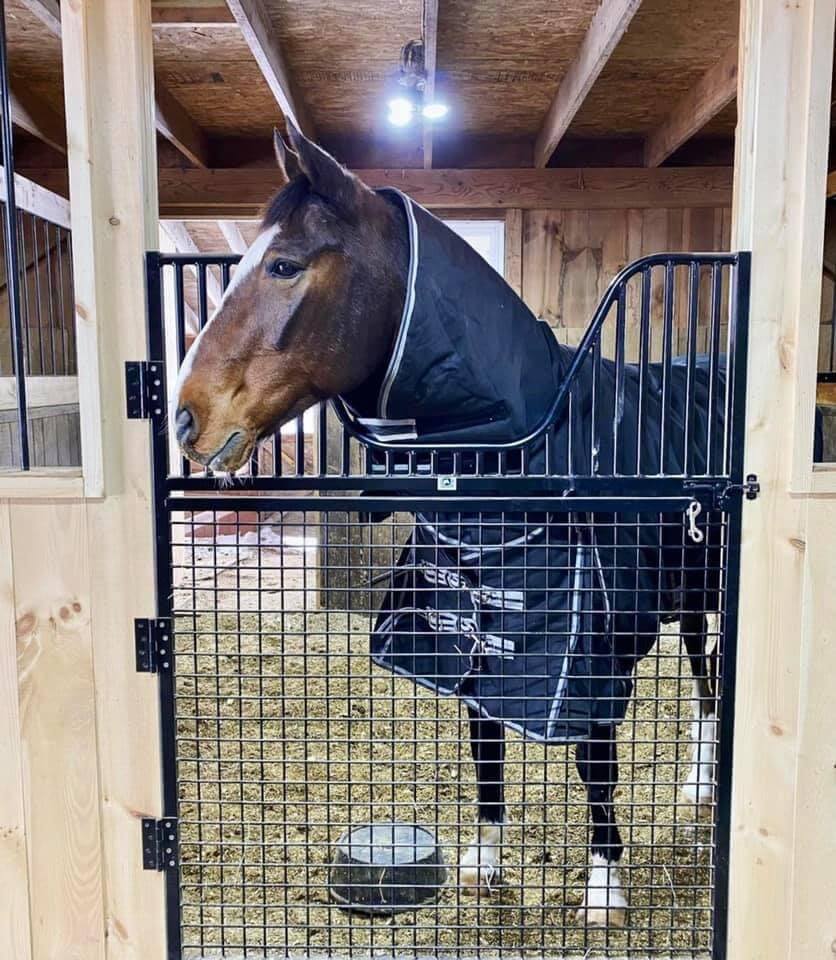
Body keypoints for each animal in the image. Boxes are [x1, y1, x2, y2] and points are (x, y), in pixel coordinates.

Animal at [171, 120, 720, 928]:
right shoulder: (479, 632)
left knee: (710, 676)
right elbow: (485, 744)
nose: (186, 417)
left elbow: (594, 764)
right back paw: (701, 784)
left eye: (284, 264)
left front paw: (603, 890)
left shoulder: (594, 653)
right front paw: (483, 864)